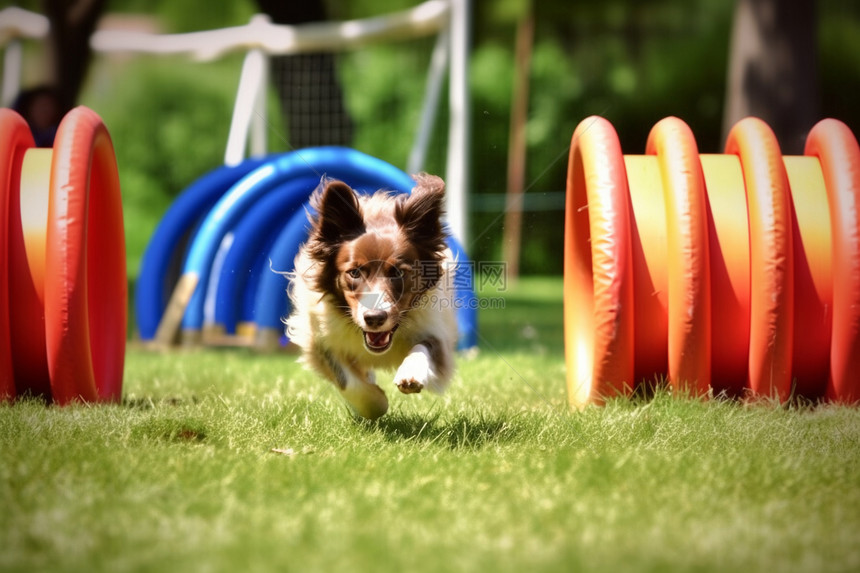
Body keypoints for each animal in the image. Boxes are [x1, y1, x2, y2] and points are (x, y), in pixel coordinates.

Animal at [286, 172, 456, 418]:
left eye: (398, 272)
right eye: (354, 272)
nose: (374, 318)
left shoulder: (434, 331)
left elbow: (424, 348)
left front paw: (411, 374)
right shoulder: (321, 341)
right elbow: (348, 381)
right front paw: (376, 402)